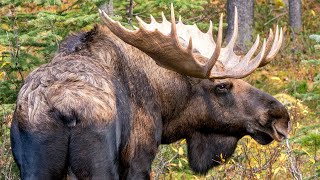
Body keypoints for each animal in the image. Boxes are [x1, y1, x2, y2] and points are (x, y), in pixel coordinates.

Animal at [10, 4, 290, 180]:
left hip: (36, 167)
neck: (166, 107)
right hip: (98, 165)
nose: (280, 116)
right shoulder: (139, 159)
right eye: (222, 85)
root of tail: (65, 110)